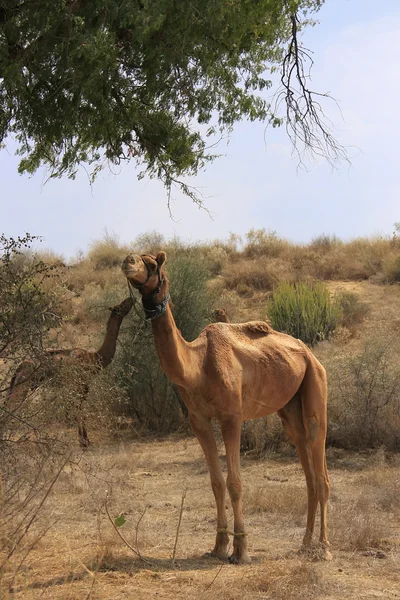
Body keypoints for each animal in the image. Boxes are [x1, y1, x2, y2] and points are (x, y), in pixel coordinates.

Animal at [6, 296, 134, 446]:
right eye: (121, 306)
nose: (131, 298)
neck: (96, 358)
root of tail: (20, 366)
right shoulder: (80, 385)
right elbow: (79, 410)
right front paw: (84, 441)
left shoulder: (82, 387)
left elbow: (78, 409)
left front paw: (84, 440)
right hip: (22, 386)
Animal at [122, 253, 332, 564]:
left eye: (153, 264)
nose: (128, 261)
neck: (197, 366)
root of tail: (309, 353)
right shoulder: (198, 420)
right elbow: (216, 482)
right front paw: (218, 546)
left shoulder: (232, 417)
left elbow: (235, 483)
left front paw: (240, 549)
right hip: (290, 407)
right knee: (307, 469)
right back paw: (305, 544)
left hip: (316, 385)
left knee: (321, 471)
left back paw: (325, 547)